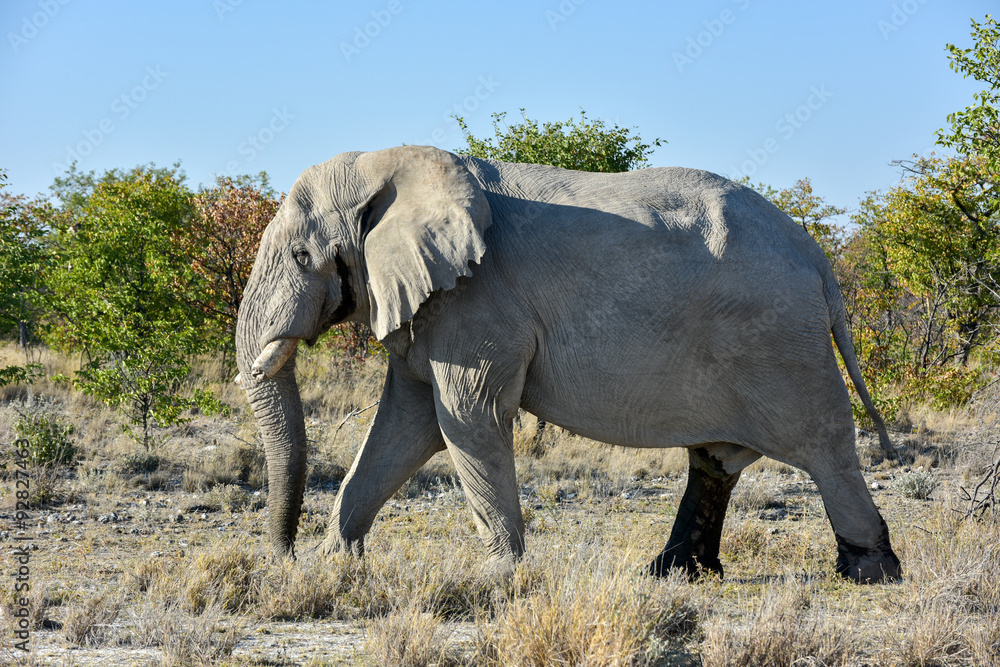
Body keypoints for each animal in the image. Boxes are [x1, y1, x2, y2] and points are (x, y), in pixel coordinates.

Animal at [235, 145, 901, 584]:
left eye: (302, 256)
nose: (282, 556)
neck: (392, 161)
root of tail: (817, 259)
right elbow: (406, 424)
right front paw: (332, 564)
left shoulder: (479, 301)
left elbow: (466, 418)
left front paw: (497, 576)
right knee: (716, 458)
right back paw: (671, 573)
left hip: (780, 341)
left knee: (825, 450)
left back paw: (869, 571)